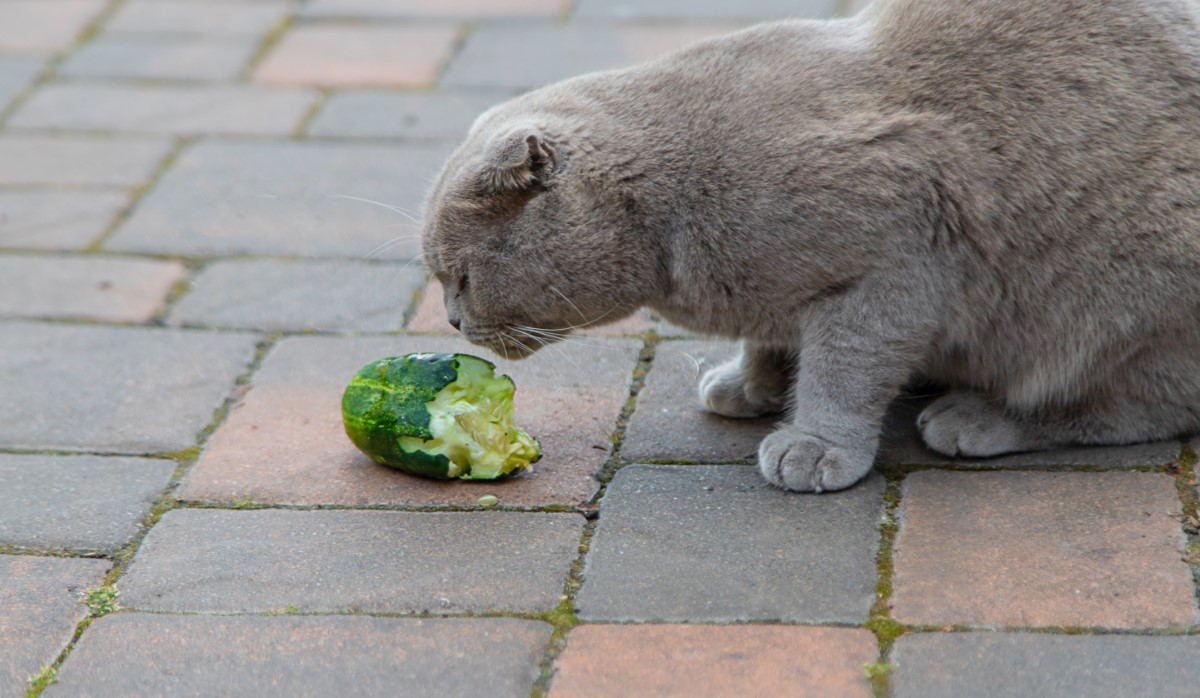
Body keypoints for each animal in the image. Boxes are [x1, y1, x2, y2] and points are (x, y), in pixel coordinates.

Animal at [422, 0, 1200, 491]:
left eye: (461, 278)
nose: (454, 321)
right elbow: (774, 339)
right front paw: (752, 386)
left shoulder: (894, 264)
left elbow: (843, 365)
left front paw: (818, 443)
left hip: (1120, 301)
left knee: (1137, 408)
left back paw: (978, 417)